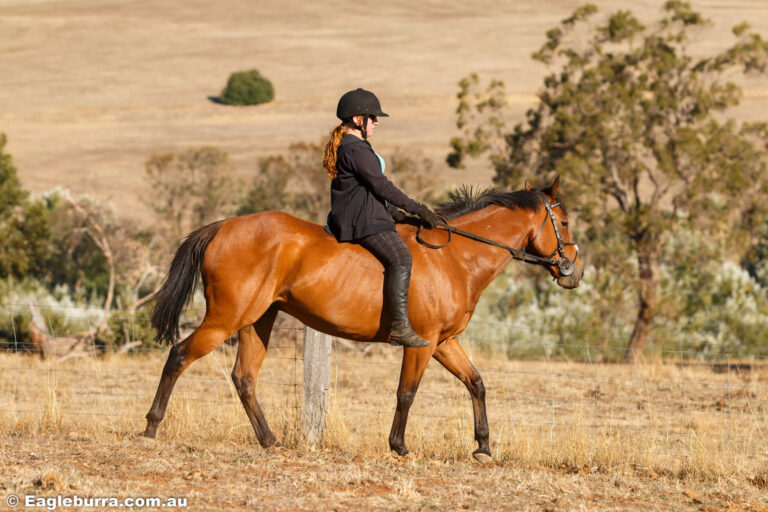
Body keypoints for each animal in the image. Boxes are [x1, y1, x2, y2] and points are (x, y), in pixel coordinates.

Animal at [142, 177, 584, 464]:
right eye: (563, 223)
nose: (573, 272)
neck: (455, 257)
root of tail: (222, 226)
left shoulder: (444, 342)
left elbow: (475, 383)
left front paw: (483, 447)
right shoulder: (422, 342)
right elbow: (407, 393)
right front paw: (399, 446)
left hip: (257, 321)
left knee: (244, 378)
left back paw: (270, 441)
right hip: (226, 318)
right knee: (179, 355)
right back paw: (150, 428)